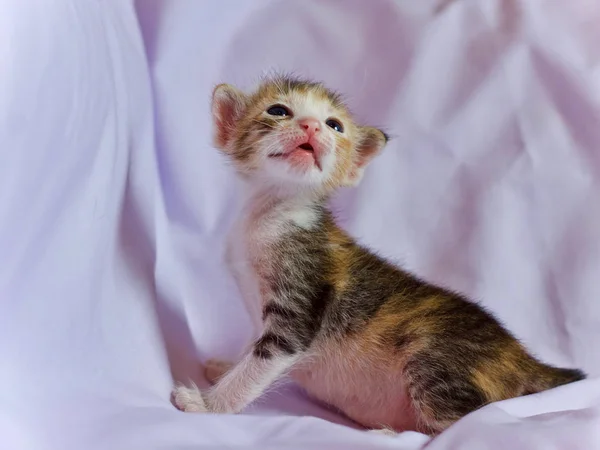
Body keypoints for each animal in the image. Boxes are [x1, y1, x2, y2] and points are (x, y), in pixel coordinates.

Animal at [173, 74, 584, 436]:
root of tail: (521, 356)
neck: (273, 212)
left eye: (335, 125)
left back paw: (391, 436)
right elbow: (252, 345)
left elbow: (262, 360)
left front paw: (208, 404)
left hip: (433, 362)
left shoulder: (299, 305)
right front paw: (227, 366)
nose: (312, 127)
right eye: (278, 110)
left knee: (466, 421)